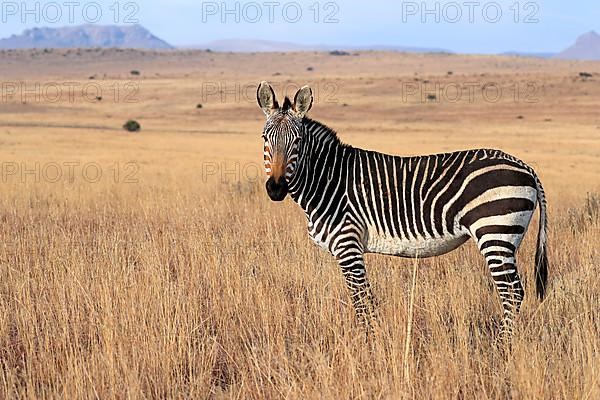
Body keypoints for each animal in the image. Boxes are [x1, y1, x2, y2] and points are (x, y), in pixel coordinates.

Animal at [256, 81, 548, 338]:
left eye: (298, 141)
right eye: (265, 138)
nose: (276, 189)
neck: (328, 180)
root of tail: (525, 166)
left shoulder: (348, 245)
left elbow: (362, 300)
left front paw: (369, 343)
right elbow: (364, 299)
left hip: (495, 232)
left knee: (512, 292)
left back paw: (503, 345)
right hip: (504, 236)